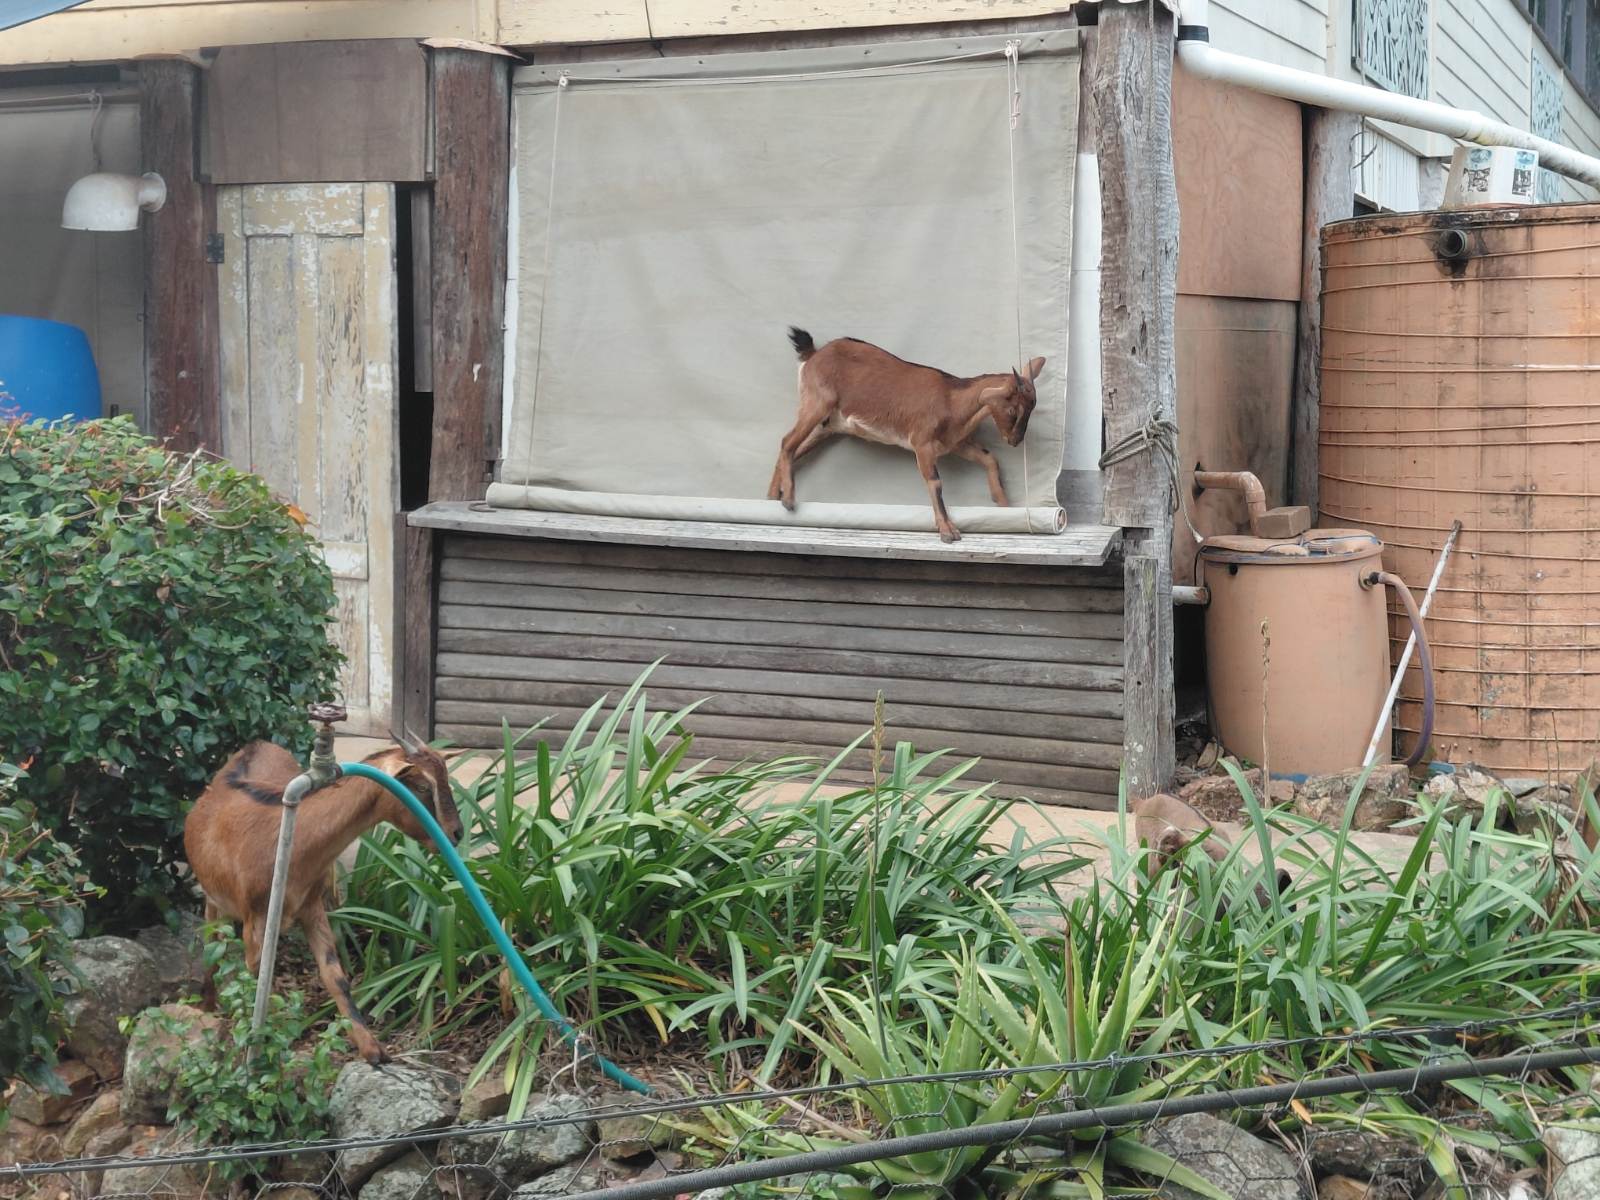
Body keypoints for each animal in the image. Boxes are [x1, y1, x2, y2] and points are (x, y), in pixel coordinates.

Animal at [183, 737, 464, 1064]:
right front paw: (258, 1046)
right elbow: (256, 976)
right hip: (214, 898)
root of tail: (257, 743)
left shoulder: (312, 907)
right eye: (420, 786)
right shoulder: (257, 918)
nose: (456, 833)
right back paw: (208, 1004)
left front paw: (372, 1048)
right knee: (211, 943)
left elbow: (335, 976)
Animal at [767, 327, 1045, 543]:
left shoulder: (954, 444)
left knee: (789, 447)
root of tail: (813, 354)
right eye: (1013, 409)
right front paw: (948, 532)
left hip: (828, 425)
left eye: (1032, 407)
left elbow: (990, 459)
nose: (1015, 440)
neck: (952, 400)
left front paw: (1004, 506)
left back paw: (771, 499)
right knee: (788, 441)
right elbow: (935, 482)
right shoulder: (922, 443)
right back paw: (788, 500)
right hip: (816, 403)